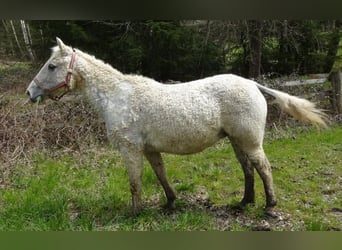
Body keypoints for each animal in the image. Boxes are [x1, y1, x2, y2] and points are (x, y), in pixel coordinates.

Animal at [26, 38, 326, 216]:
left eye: (51, 66)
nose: (30, 93)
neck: (118, 95)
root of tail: (252, 84)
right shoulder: (149, 150)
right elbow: (161, 175)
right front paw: (170, 203)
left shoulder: (130, 150)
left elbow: (135, 183)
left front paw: (134, 214)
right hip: (236, 140)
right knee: (248, 169)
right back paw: (244, 203)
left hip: (250, 141)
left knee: (263, 167)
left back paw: (269, 206)